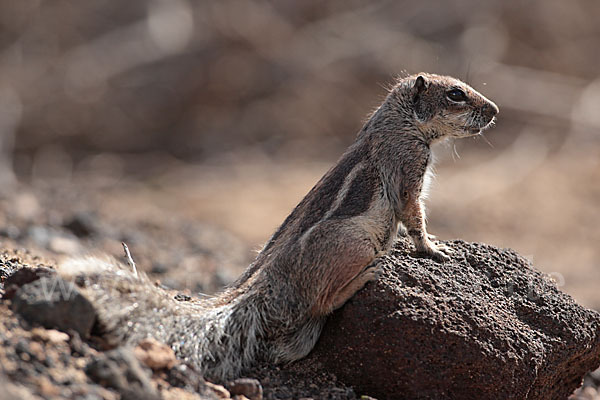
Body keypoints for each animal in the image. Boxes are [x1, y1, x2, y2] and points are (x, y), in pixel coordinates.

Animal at [57, 72, 496, 382]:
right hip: (352, 242)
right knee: (322, 301)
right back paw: (365, 275)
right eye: (455, 93)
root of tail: (265, 288)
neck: (399, 120)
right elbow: (413, 214)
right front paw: (433, 248)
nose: (494, 110)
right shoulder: (407, 167)